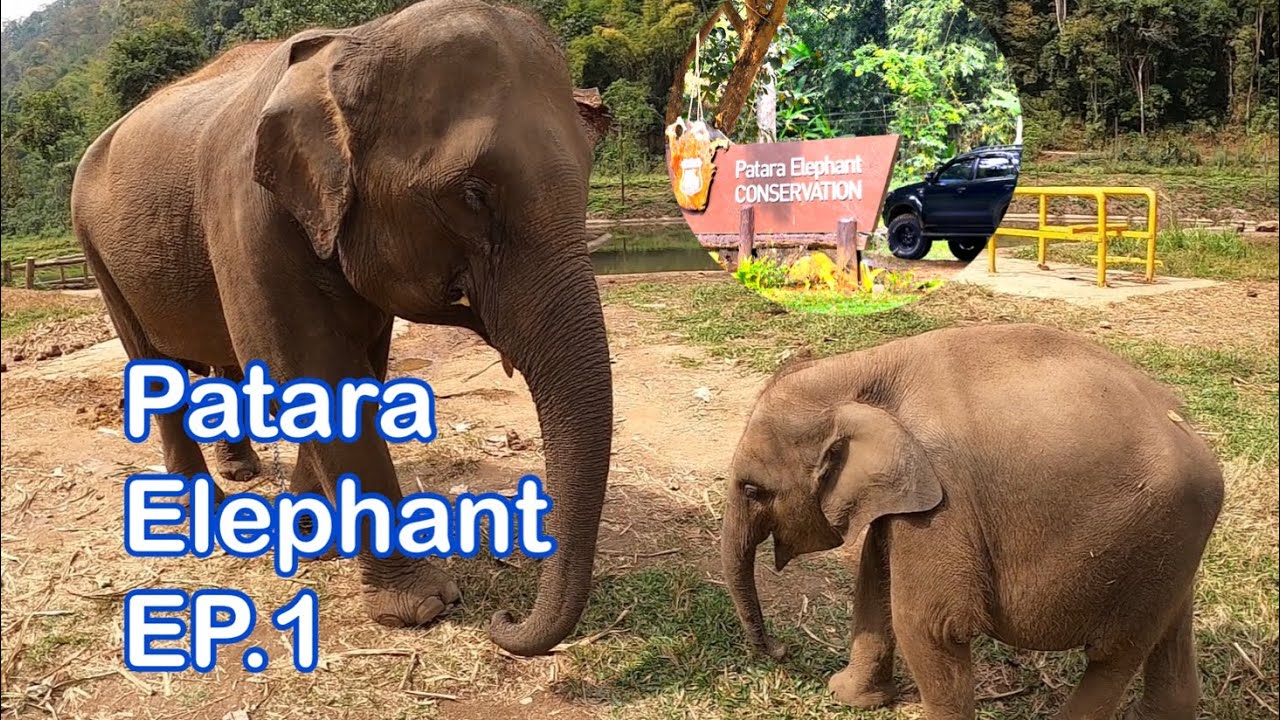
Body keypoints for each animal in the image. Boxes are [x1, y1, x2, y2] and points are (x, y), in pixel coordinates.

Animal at [71, 0, 614, 656]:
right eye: (472, 194)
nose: (502, 621)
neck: (352, 44)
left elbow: (350, 373)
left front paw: (309, 538)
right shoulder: (247, 212)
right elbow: (308, 364)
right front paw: (421, 607)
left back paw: (242, 474)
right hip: (95, 251)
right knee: (150, 367)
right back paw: (196, 506)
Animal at [720, 323, 1224, 719]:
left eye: (752, 490)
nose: (781, 650)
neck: (865, 367)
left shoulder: (947, 501)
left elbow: (931, 624)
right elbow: (873, 579)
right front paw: (848, 698)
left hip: (1150, 539)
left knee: (1116, 655)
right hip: (1169, 554)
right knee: (1169, 628)